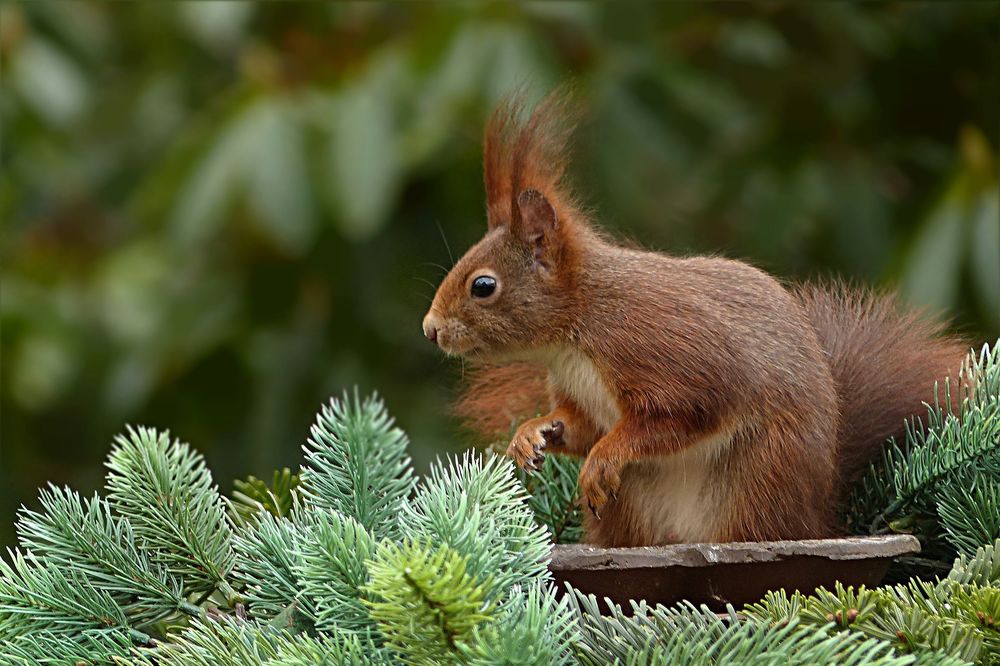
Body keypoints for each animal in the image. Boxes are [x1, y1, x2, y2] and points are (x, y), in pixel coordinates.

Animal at [420, 89, 968, 544]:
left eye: (483, 286)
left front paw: (605, 456)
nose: (430, 330)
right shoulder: (579, 391)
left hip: (759, 479)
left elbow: (685, 412)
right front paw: (532, 433)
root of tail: (818, 516)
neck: (579, 328)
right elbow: (578, 426)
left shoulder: (660, 345)